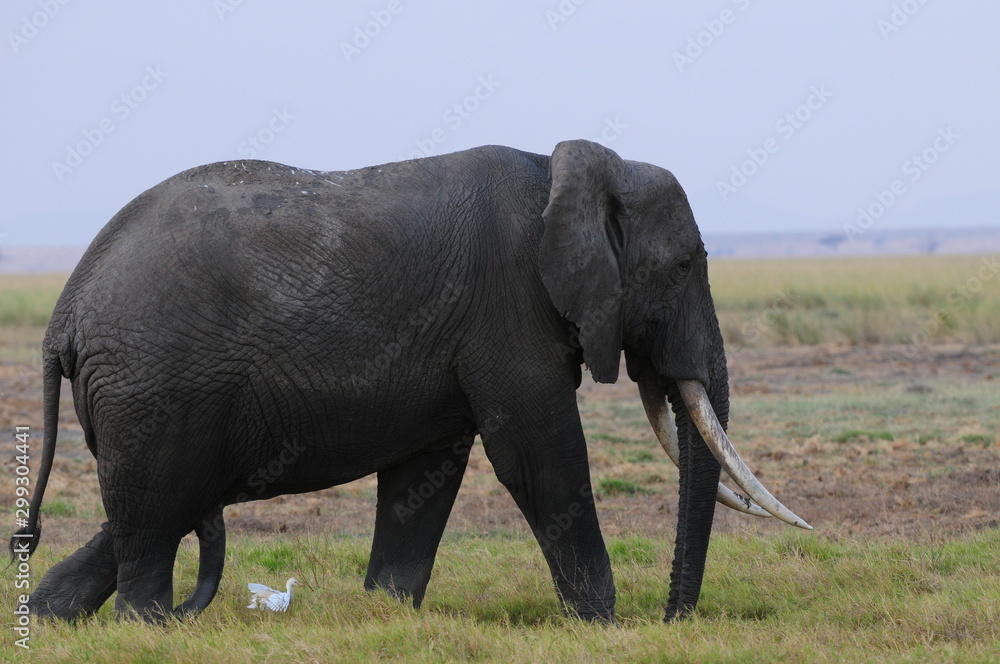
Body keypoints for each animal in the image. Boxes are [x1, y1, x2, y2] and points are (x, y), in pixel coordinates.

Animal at [12, 140, 809, 623]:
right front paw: (603, 626)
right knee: (152, 522)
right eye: (683, 267)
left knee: (145, 512)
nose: (673, 619)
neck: (563, 173)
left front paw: (385, 616)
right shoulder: (508, 307)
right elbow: (539, 457)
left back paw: (49, 620)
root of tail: (64, 311)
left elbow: (426, 474)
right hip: (154, 385)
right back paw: (145, 626)